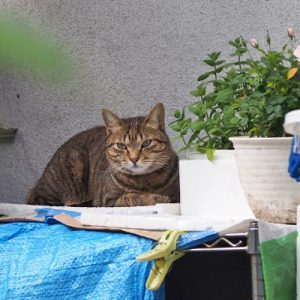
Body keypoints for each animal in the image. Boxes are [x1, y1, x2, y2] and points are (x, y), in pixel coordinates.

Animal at [27, 103, 179, 206]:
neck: (145, 182)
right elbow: (130, 197)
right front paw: (153, 197)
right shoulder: (108, 200)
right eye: (121, 146)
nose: (134, 158)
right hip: (75, 161)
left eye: (146, 143)